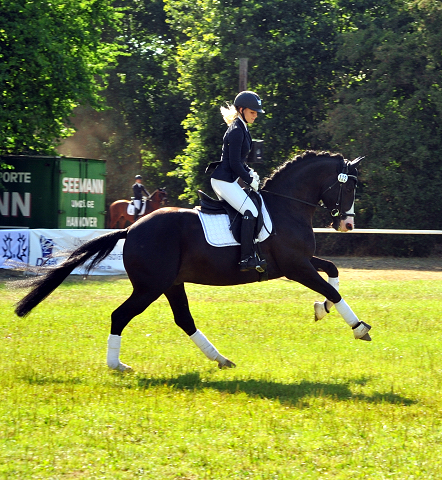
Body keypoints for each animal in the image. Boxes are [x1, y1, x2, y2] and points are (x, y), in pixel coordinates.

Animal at [14, 150, 370, 372]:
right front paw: (359, 327)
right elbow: (332, 289)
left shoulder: (299, 261)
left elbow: (333, 273)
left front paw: (321, 309)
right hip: (150, 286)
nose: (347, 225)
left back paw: (221, 359)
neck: (287, 207)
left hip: (171, 283)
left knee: (184, 320)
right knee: (121, 315)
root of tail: (132, 228)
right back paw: (117, 365)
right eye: (349, 186)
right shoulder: (295, 266)